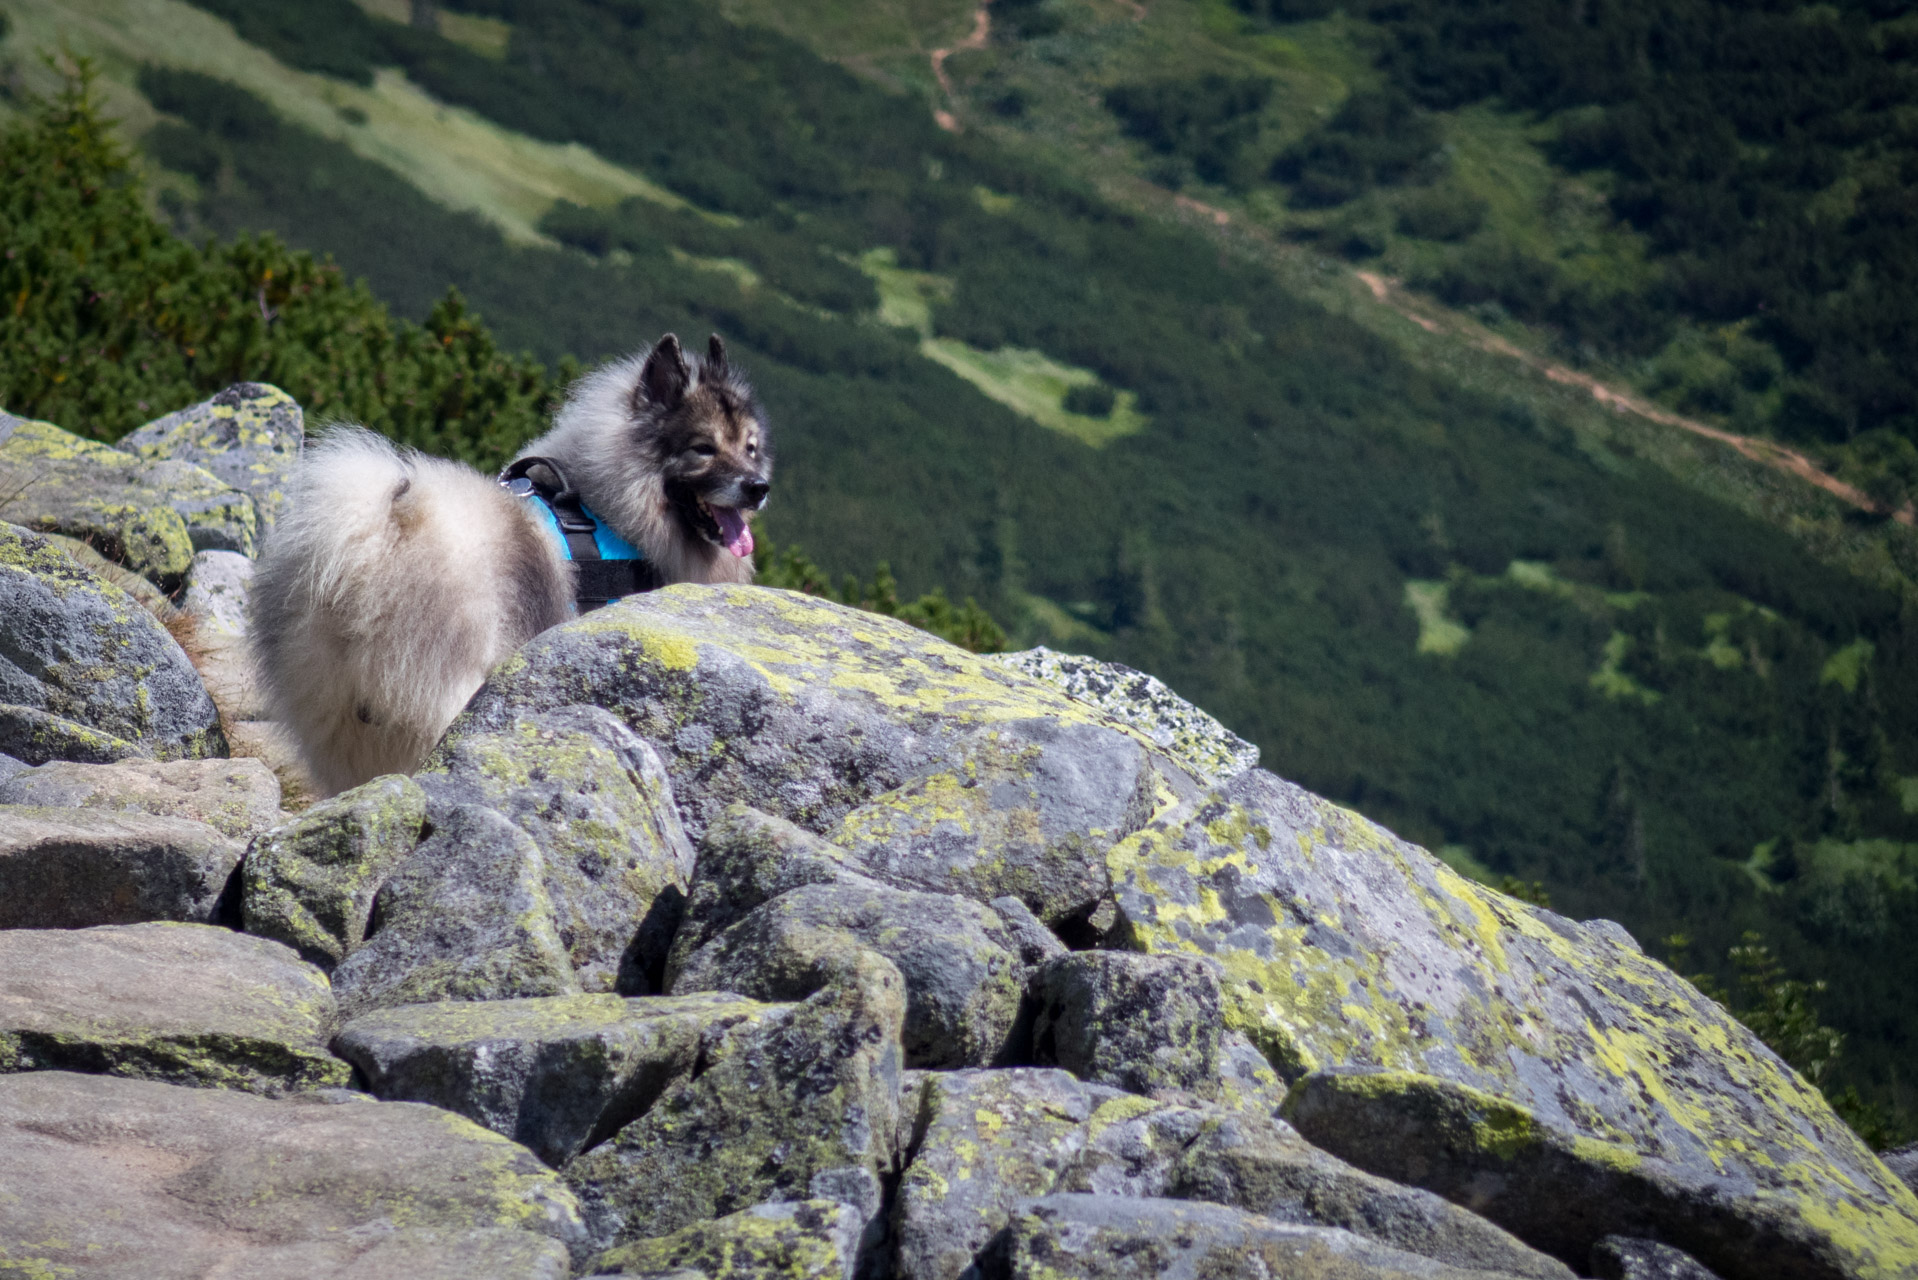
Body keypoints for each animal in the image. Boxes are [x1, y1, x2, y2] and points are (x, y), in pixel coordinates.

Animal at [249, 335, 771, 794]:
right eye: (703, 448)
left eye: (750, 447)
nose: (758, 487)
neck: (610, 508)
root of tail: (379, 534)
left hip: (339, 718)